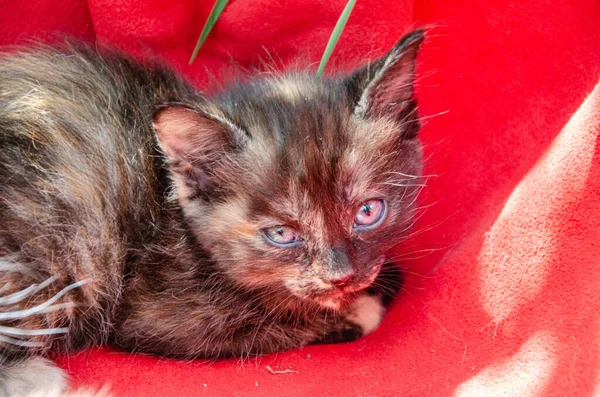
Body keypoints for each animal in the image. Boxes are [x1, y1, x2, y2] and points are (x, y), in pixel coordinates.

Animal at [0, 29, 424, 394]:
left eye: (368, 211)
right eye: (282, 234)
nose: (342, 277)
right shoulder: (161, 317)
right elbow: (272, 324)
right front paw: (364, 307)